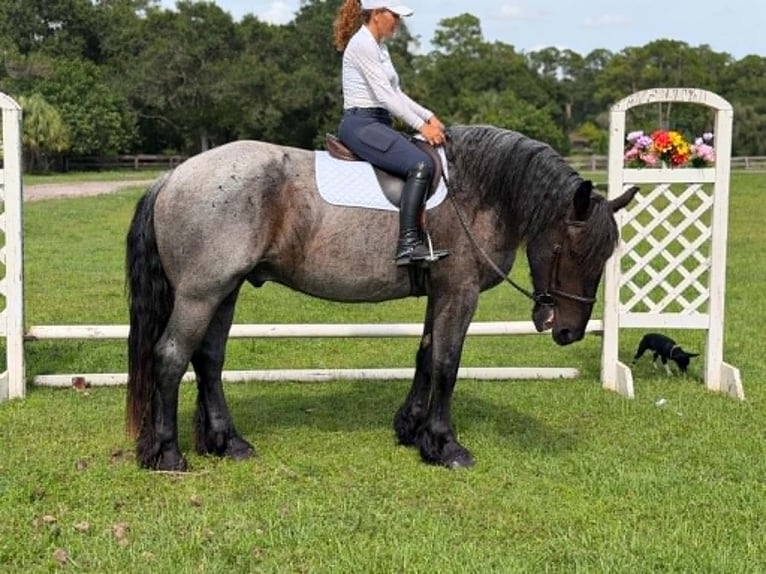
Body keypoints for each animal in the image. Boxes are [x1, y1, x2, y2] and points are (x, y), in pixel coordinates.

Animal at [125, 125, 637, 471]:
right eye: (571, 250)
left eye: (604, 256)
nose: (569, 331)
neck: (477, 191)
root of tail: (172, 177)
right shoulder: (459, 292)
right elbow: (447, 364)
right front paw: (445, 444)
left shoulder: (440, 291)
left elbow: (426, 355)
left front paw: (412, 431)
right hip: (200, 293)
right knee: (171, 358)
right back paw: (168, 454)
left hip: (224, 290)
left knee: (208, 359)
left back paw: (228, 442)